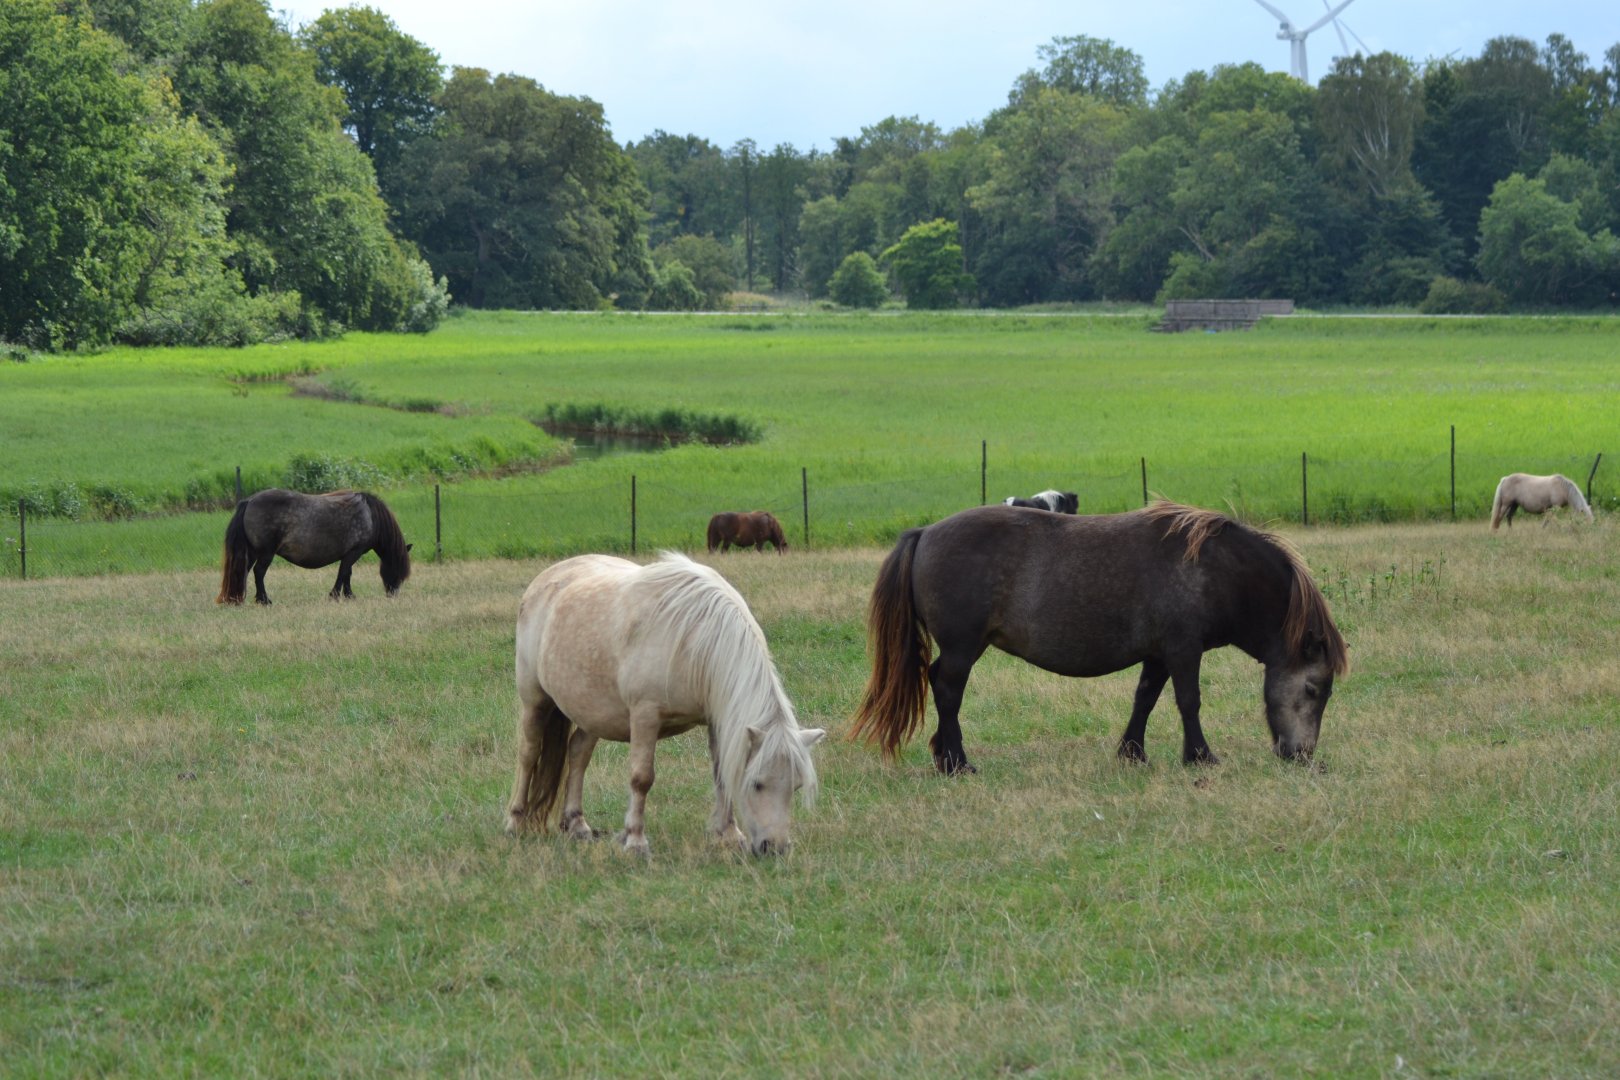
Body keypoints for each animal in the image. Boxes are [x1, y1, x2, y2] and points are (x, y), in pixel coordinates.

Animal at [217, 489, 412, 605]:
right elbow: (343, 573)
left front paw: (349, 595)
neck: (370, 516)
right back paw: (264, 600)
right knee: (259, 573)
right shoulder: (353, 552)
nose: (393, 594)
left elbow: (347, 574)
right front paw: (335, 595)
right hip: (265, 553)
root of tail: (249, 501)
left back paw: (238, 598)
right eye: (397, 568)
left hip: (252, 552)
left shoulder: (349, 554)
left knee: (244, 571)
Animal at [507, 552, 824, 856]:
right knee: (528, 754)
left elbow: (721, 774)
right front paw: (635, 841)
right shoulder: (645, 716)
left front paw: (729, 836)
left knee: (578, 753)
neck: (697, 638)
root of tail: (546, 578)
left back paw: (576, 824)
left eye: (795, 786)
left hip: (592, 711)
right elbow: (641, 778)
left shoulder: (716, 719)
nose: (775, 848)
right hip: (535, 701)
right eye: (757, 783)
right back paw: (515, 821)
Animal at [850, 501, 1348, 775]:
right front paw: (1200, 756)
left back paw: (944, 756)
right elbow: (1189, 702)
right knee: (948, 691)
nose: (1301, 755)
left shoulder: (1158, 655)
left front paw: (1133, 753)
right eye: (1313, 688)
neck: (1213, 569)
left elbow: (1145, 699)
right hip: (962, 649)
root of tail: (925, 533)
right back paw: (957, 763)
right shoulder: (1183, 650)